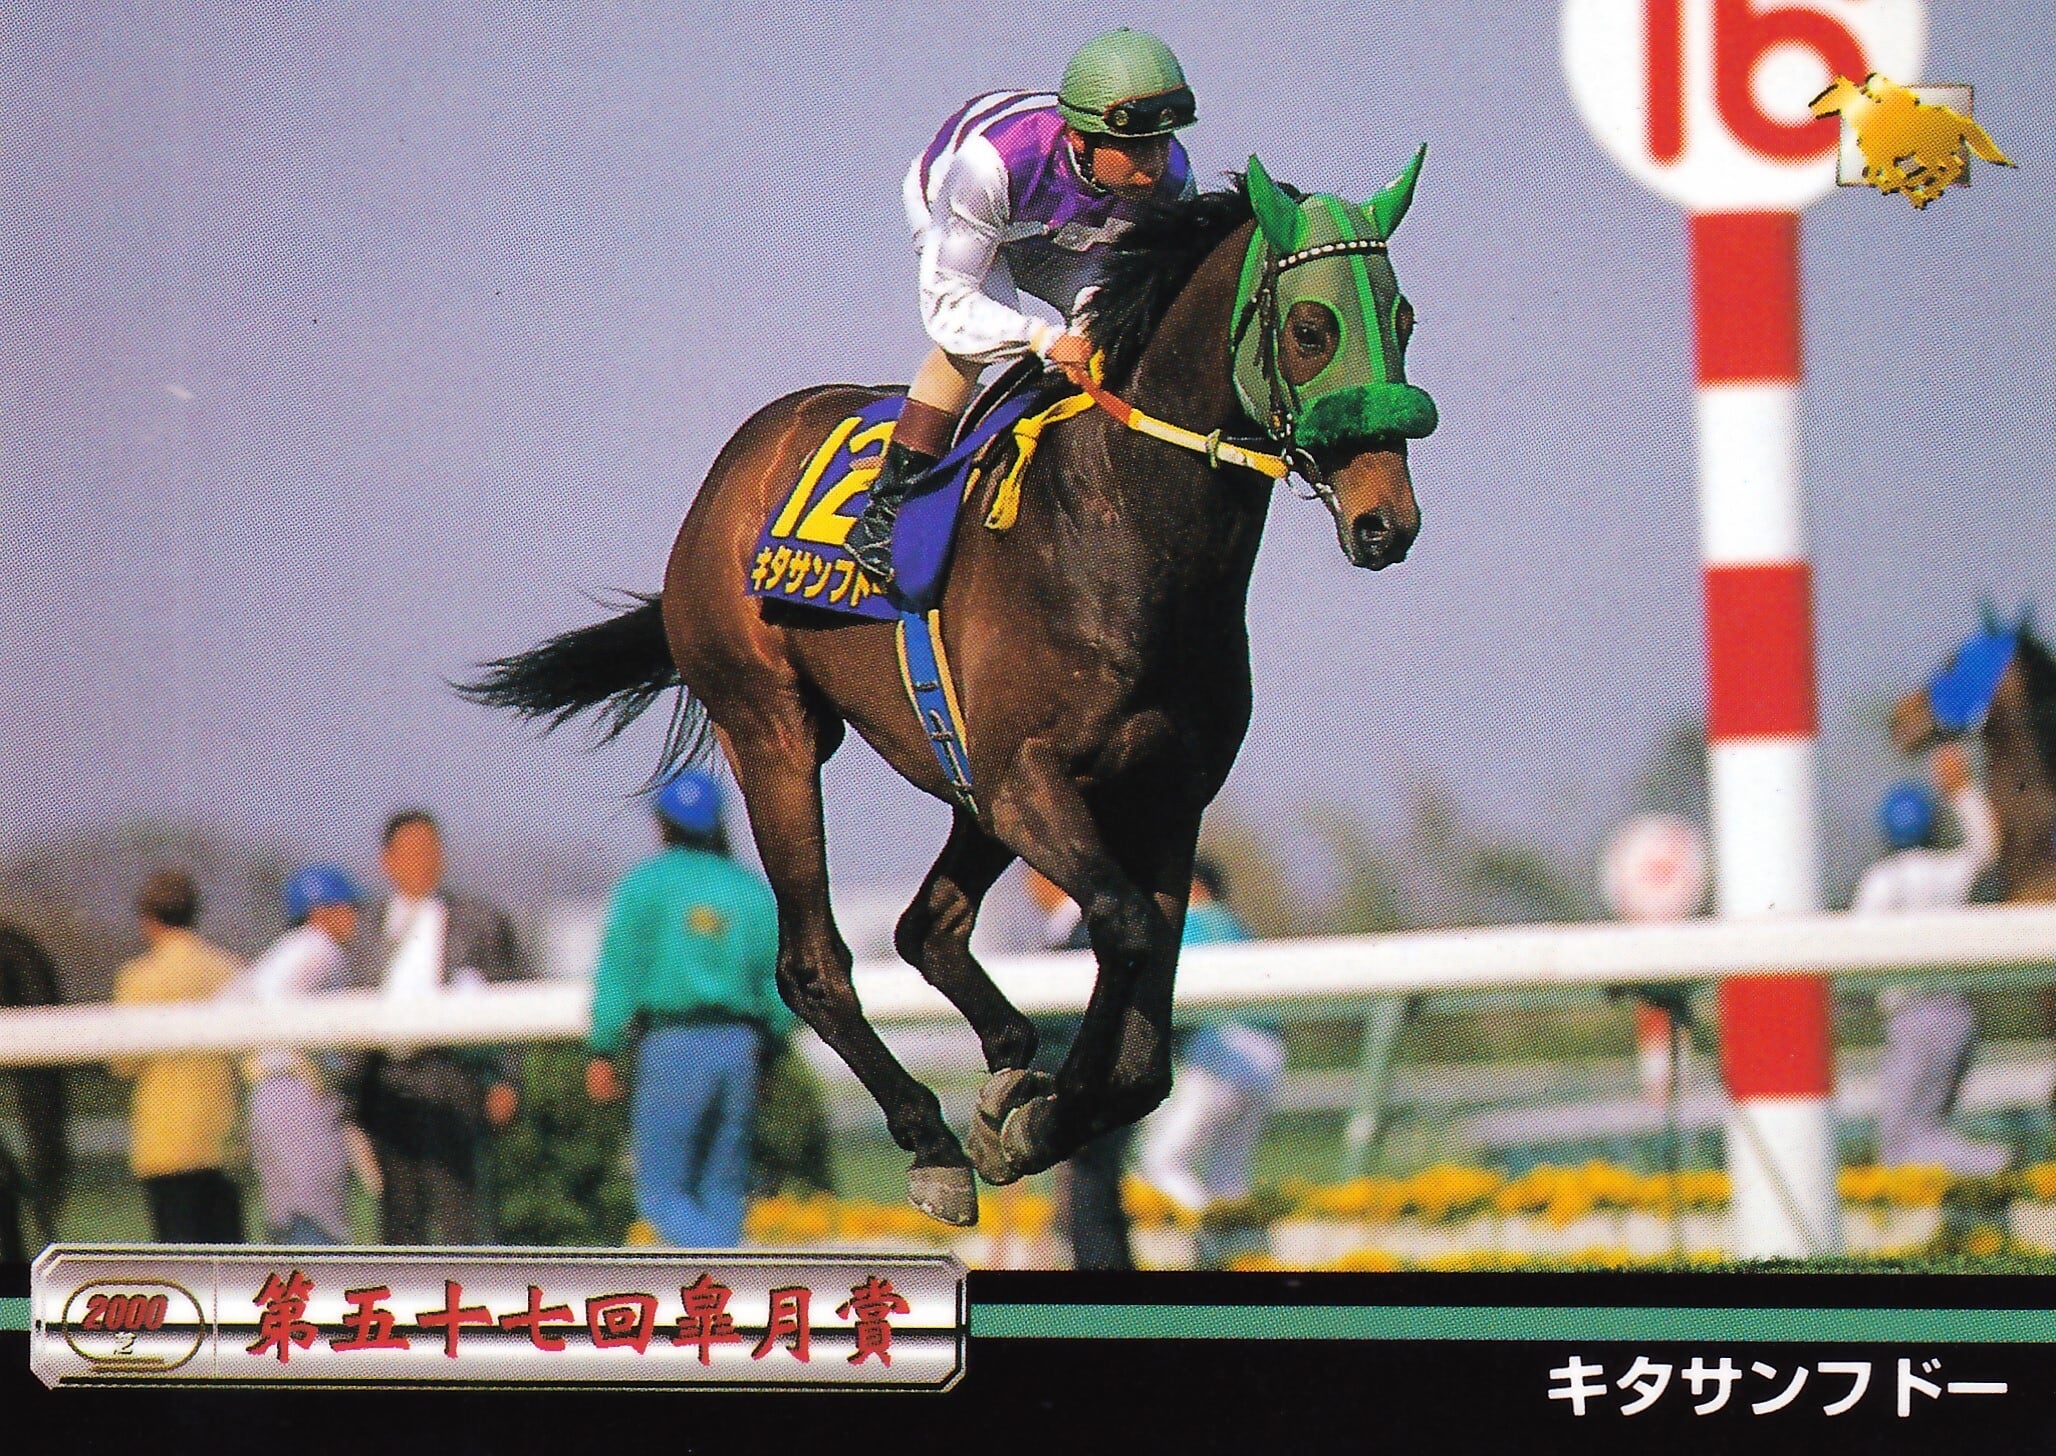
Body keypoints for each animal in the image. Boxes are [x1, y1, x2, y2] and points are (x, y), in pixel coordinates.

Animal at [464, 156, 1437, 1227]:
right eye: (1310, 327)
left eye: (1404, 317)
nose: (1388, 522)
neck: (1120, 538)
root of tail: (736, 464)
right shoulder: (1026, 781)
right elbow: (1124, 928)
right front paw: (1039, 1119)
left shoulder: (1164, 798)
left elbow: (1147, 1035)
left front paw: (1035, 1104)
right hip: (775, 731)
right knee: (815, 963)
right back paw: (929, 1135)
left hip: (964, 784)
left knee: (925, 927)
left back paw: (1006, 1063)